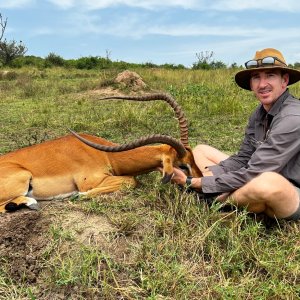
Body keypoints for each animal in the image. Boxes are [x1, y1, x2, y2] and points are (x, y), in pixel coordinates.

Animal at [0, 92, 202, 212]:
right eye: (183, 166)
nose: (201, 182)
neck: (106, 155)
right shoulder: (90, 182)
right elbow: (131, 180)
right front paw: (78, 195)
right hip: (23, 177)